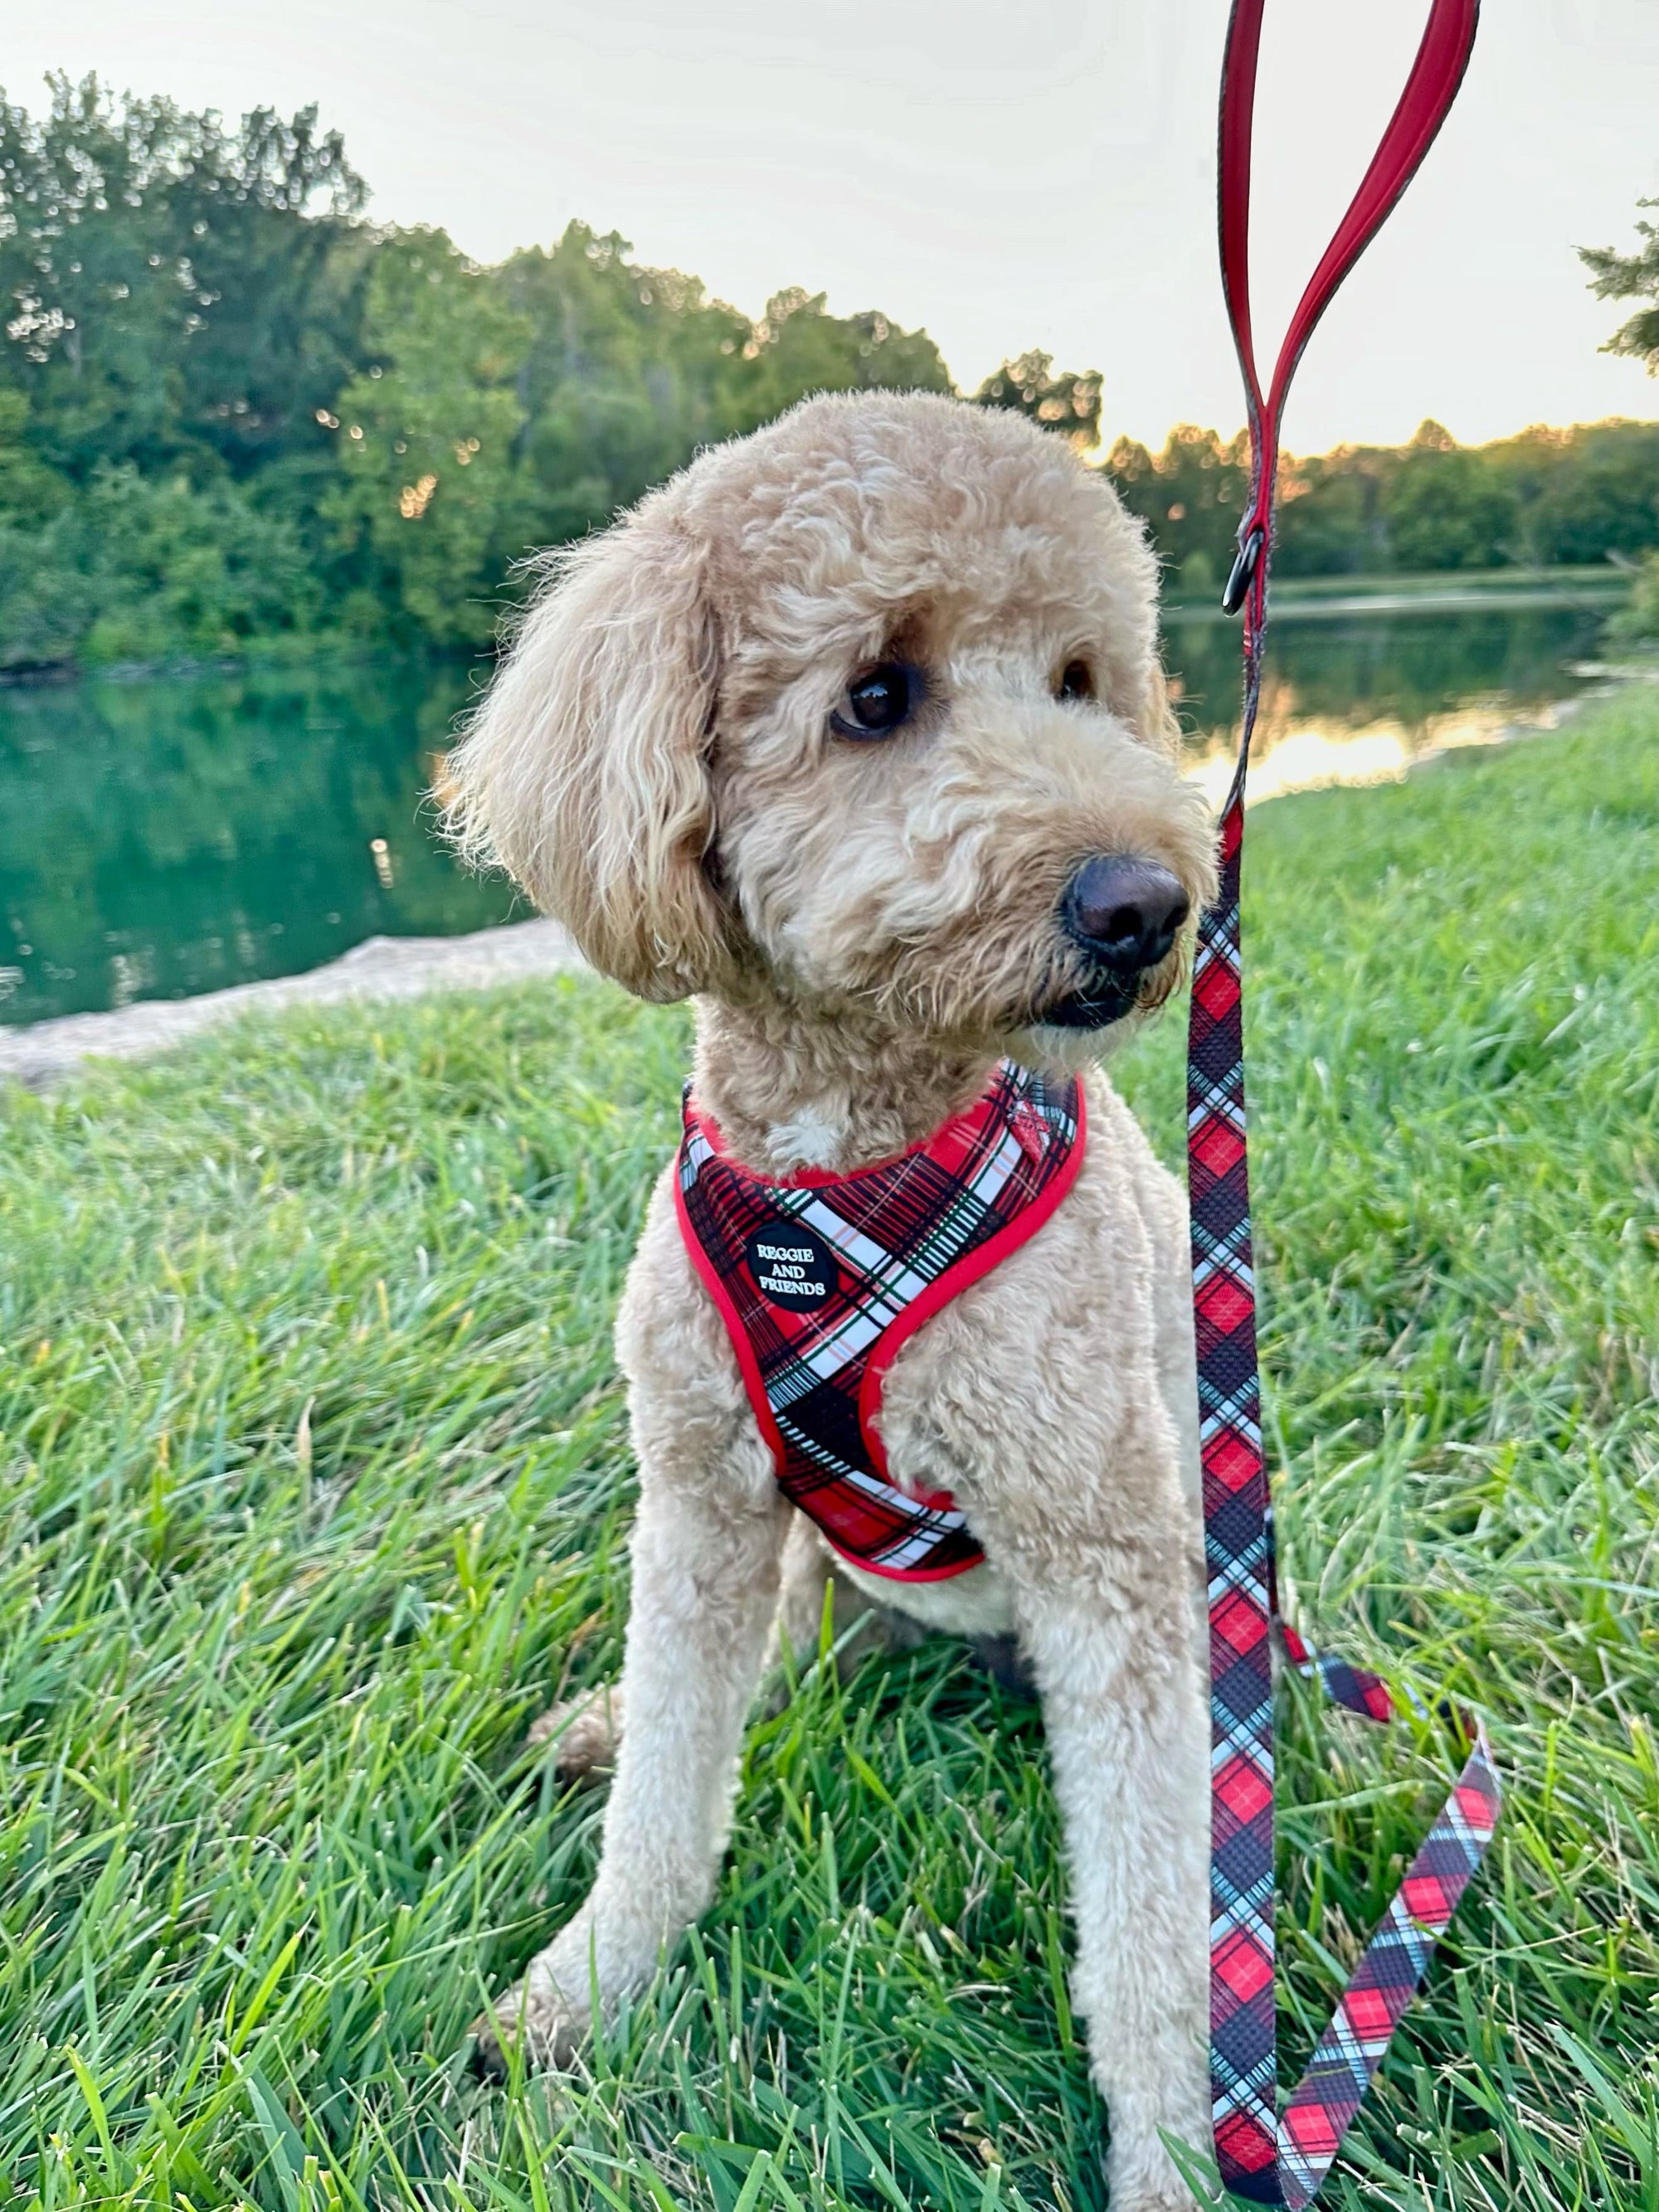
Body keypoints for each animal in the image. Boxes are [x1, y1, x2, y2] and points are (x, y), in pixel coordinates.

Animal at [449, 389, 1229, 2203]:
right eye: (877, 694)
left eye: (1083, 681)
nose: (1147, 903)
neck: (839, 1179)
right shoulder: (701, 1496)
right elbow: (668, 1792)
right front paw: (585, 1990)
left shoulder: (1104, 1550)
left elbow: (1157, 1920)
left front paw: (1174, 2149)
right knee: (780, 1662)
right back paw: (611, 1716)